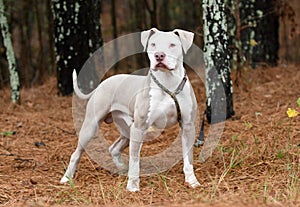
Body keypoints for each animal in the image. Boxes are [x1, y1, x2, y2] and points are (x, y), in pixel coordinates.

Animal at [59, 28, 200, 192]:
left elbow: (188, 158)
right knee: (76, 153)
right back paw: (66, 178)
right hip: (91, 126)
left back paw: (121, 168)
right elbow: (134, 160)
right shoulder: (139, 127)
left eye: (172, 45)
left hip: (127, 129)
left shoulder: (188, 126)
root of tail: (102, 84)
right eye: (153, 44)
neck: (168, 83)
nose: (159, 55)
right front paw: (132, 186)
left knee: (114, 148)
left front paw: (192, 181)